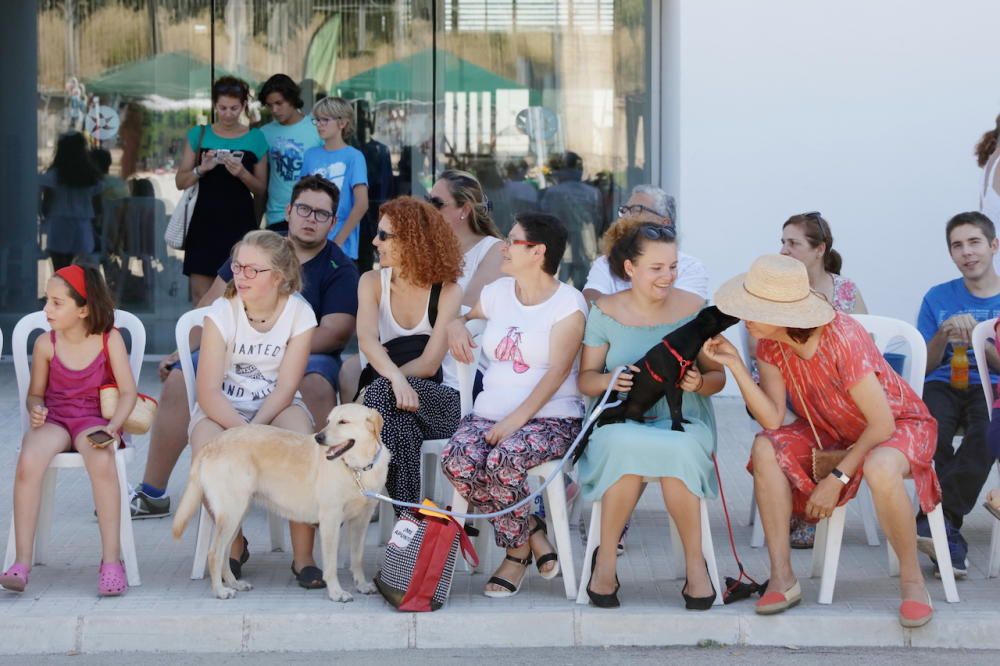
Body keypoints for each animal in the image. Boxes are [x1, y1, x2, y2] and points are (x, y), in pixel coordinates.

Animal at [576, 308, 740, 462]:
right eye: (722, 311)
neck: (684, 344)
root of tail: (595, 409)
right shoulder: (671, 386)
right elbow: (674, 409)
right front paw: (677, 427)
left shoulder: (679, 386)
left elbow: (678, 406)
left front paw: (682, 421)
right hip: (618, 404)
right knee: (600, 422)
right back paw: (616, 420)